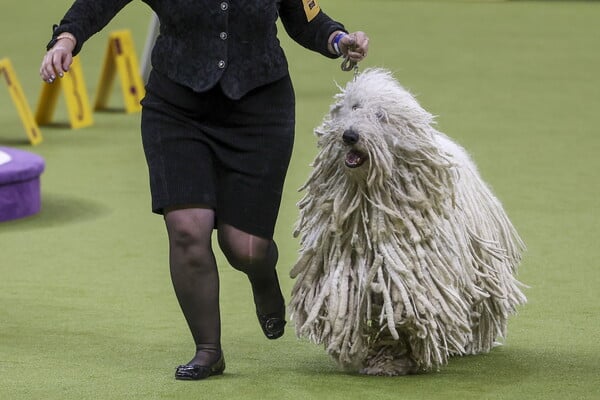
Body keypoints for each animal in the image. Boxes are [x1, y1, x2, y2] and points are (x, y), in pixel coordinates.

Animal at [288, 68, 528, 376]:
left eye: (380, 115)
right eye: (354, 107)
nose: (350, 135)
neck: (370, 202)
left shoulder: (412, 275)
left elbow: (407, 313)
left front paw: (399, 356)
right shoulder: (347, 266)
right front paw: (380, 356)